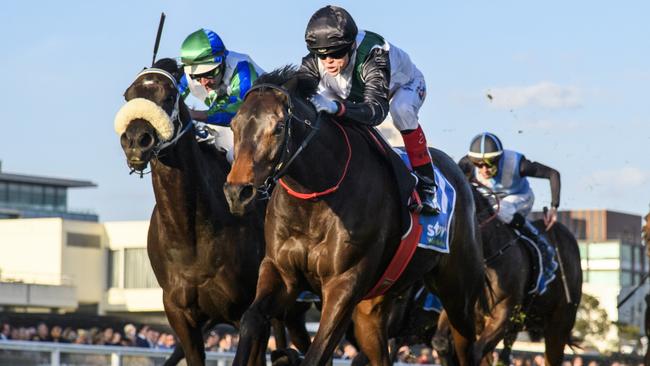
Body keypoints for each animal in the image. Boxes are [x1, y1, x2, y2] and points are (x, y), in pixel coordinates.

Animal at [114, 58, 308, 364]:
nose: (136, 140)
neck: (190, 234)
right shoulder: (181, 315)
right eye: (128, 96)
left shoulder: (246, 310)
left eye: (169, 96)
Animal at [223, 66, 486, 366]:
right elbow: (251, 320)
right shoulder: (280, 271)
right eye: (234, 126)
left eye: (278, 128)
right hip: (373, 307)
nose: (237, 192)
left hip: (458, 294)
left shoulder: (344, 284)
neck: (315, 198)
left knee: (466, 346)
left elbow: (316, 354)